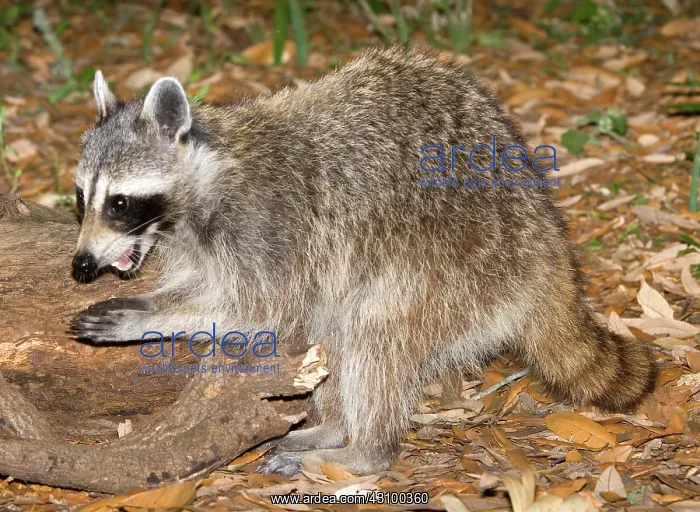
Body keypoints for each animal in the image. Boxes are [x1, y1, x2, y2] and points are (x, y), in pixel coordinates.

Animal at [71, 46, 656, 476]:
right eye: (81, 198)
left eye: (119, 203)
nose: (81, 266)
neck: (205, 178)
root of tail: (546, 238)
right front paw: (155, 298)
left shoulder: (273, 227)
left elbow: (258, 310)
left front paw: (149, 315)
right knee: (332, 328)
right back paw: (332, 426)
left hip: (456, 260)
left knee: (376, 333)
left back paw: (365, 449)